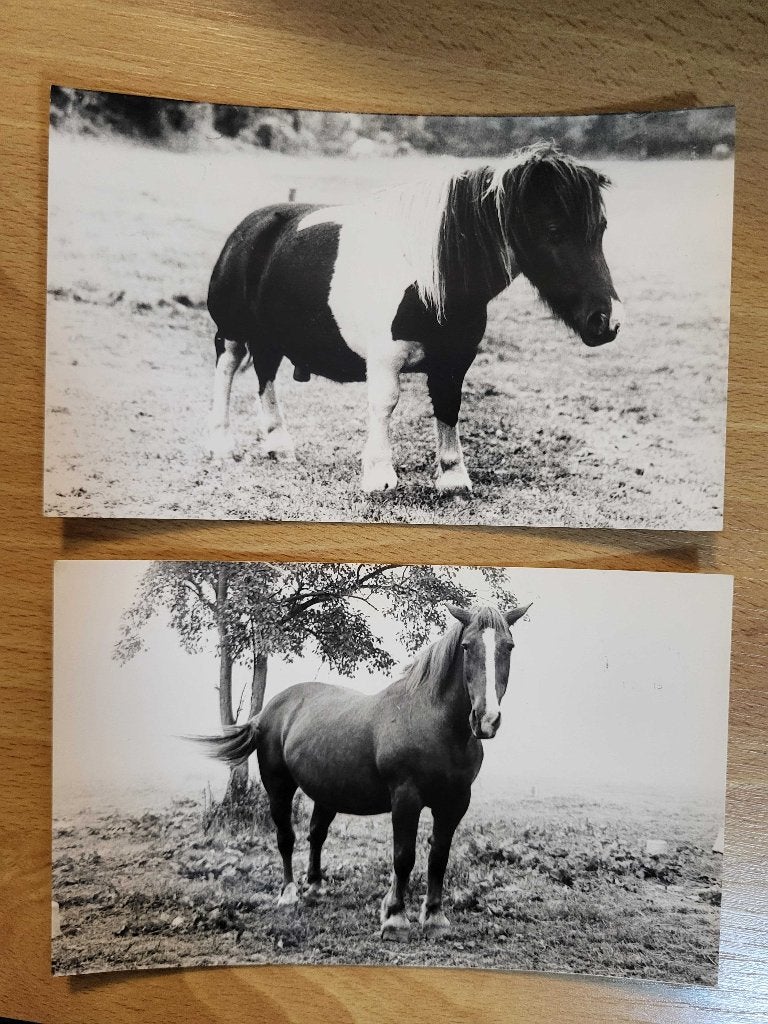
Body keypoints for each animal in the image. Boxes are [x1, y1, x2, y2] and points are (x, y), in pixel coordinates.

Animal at [193, 602, 531, 940]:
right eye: (466, 646)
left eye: (509, 646)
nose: (486, 719)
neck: (434, 723)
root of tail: (269, 710)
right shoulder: (406, 798)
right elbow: (403, 857)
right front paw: (395, 917)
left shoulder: (455, 802)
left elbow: (439, 857)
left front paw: (434, 916)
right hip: (278, 787)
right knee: (286, 837)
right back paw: (289, 894)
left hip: (327, 793)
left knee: (316, 834)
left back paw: (315, 886)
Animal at [206, 142, 619, 494]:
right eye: (554, 231)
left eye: (601, 229)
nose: (607, 321)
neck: (429, 278)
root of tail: (252, 226)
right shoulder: (385, 358)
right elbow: (385, 402)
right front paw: (379, 474)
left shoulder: (455, 359)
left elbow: (449, 404)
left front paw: (453, 477)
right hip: (232, 330)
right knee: (227, 369)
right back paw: (222, 444)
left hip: (270, 335)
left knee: (265, 373)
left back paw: (278, 444)